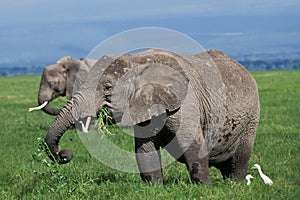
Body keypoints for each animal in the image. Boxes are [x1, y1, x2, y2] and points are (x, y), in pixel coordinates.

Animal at [44, 48, 260, 184]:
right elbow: (144, 149)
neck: (137, 60)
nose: (65, 154)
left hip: (252, 117)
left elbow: (191, 143)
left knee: (241, 155)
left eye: (108, 88)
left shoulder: (186, 103)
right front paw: (154, 187)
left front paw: (205, 187)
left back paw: (235, 184)